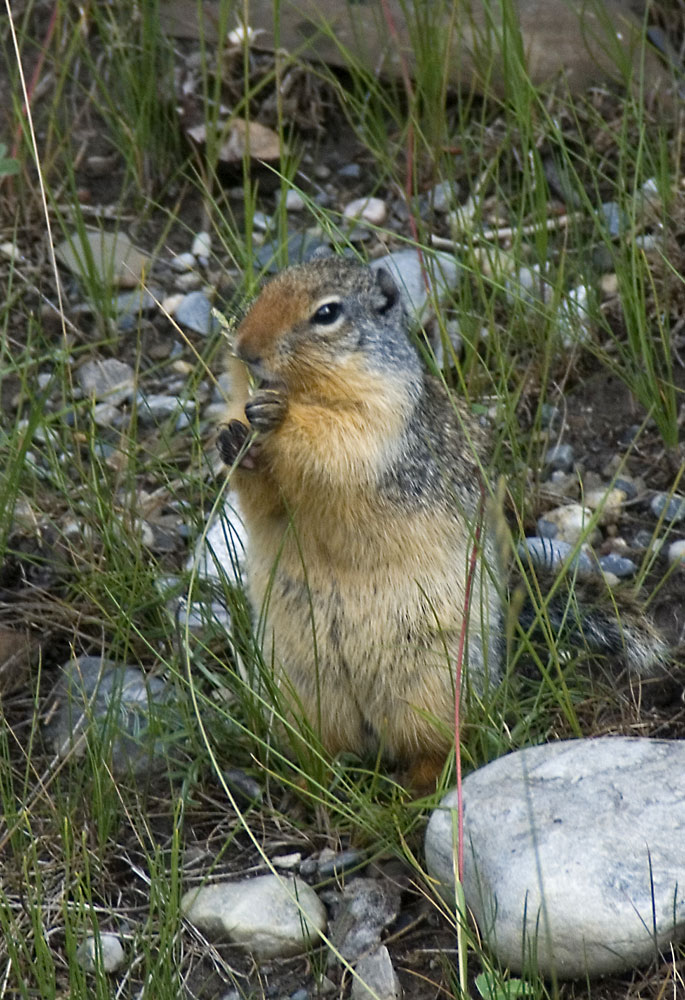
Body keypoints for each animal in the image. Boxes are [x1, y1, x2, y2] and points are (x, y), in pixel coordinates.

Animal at [219, 254, 668, 792]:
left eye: (327, 313)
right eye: (266, 287)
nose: (245, 350)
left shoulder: (383, 419)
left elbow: (338, 444)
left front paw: (280, 413)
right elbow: (264, 500)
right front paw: (232, 440)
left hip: (433, 681)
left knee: (438, 744)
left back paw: (422, 782)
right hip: (300, 685)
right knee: (323, 746)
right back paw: (308, 778)